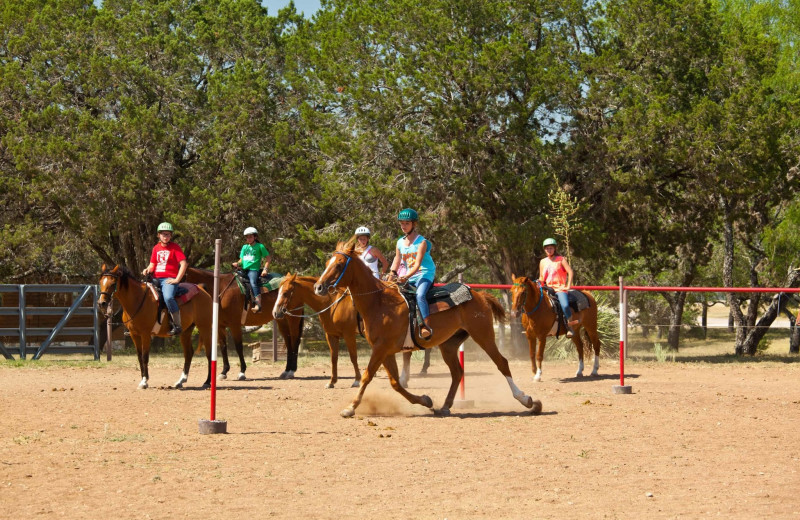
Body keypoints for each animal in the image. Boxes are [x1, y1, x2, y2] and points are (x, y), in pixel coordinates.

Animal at [312, 242, 544, 416]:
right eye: (327, 262)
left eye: (339, 264)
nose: (318, 287)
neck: (379, 302)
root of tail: (480, 295)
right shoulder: (386, 351)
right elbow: (396, 383)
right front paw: (425, 400)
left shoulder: (380, 349)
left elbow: (368, 375)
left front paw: (350, 407)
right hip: (449, 345)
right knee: (457, 372)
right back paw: (445, 406)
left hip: (483, 335)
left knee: (501, 363)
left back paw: (527, 400)